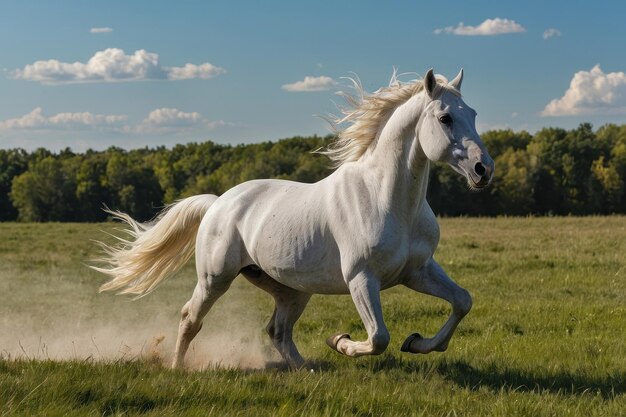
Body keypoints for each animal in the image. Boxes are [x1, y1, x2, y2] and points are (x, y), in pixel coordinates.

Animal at [92, 67, 492, 368]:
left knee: (277, 330)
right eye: (445, 117)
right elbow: (378, 337)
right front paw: (340, 340)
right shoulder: (361, 278)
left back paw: (306, 370)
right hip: (215, 278)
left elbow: (463, 301)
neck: (387, 199)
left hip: (291, 289)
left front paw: (417, 343)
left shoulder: (417, 271)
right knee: (191, 317)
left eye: (473, 114)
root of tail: (219, 202)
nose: (483, 169)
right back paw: (177, 368)